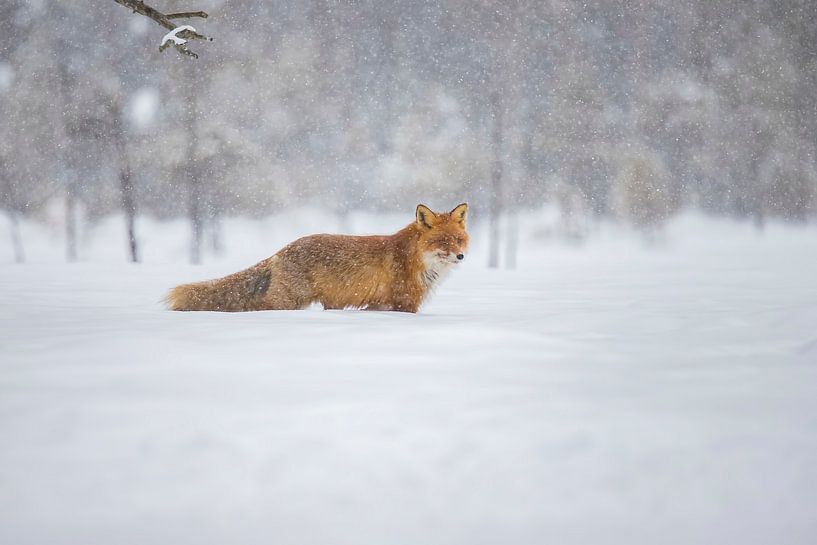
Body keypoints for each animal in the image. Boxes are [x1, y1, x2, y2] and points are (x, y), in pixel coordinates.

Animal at [166, 203, 469, 313]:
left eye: (458, 239)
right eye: (442, 242)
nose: (461, 256)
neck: (416, 260)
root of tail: (281, 250)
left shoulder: (379, 305)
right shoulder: (404, 303)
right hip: (288, 301)